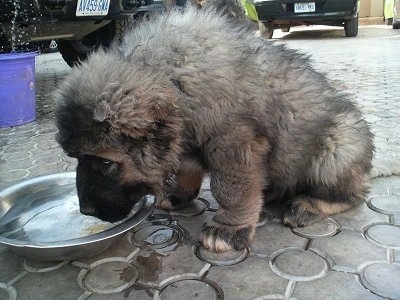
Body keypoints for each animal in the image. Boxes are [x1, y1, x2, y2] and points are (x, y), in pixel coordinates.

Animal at [55, 5, 376, 252]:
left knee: (354, 194)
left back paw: (308, 205)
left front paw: (228, 228)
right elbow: (186, 167)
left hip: (337, 147)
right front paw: (176, 194)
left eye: (105, 162)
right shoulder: (185, 135)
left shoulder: (234, 142)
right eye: (76, 158)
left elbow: (232, 188)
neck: (171, 76)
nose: (86, 211)